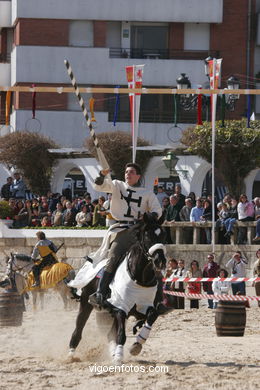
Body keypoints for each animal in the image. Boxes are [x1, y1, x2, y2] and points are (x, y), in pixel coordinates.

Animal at [68, 213, 167, 362]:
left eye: (163, 235)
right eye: (147, 236)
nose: (160, 261)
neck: (139, 277)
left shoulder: (142, 307)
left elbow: (152, 314)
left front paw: (138, 343)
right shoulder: (120, 308)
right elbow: (121, 334)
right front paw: (119, 356)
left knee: (110, 333)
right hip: (86, 302)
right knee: (78, 328)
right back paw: (71, 354)